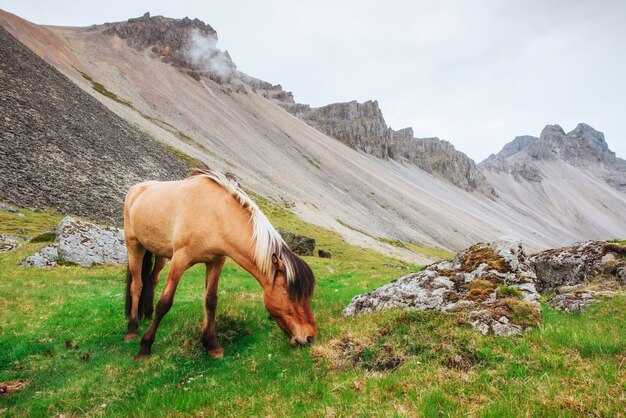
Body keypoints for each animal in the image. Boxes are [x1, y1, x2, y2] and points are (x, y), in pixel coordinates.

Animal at [122, 167, 314, 360]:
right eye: (290, 294)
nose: (310, 337)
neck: (213, 214)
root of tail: (136, 189)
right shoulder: (180, 260)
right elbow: (165, 303)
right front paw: (145, 346)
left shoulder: (216, 262)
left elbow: (211, 301)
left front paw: (212, 344)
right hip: (134, 246)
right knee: (137, 285)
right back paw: (132, 328)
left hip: (160, 253)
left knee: (152, 279)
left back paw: (148, 313)